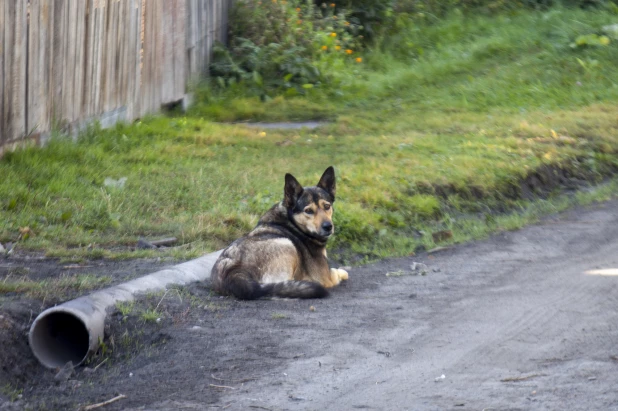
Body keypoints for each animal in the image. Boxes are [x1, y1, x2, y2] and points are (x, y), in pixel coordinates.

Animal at [209, 167, 346, 300]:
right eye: (308, 211)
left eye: (327, 206)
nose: (328, 227)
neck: (292, 221)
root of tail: (234, 273)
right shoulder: (326, 278)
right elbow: (338, 272)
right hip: (287, 244)